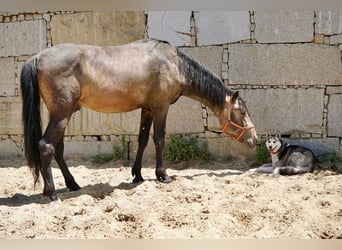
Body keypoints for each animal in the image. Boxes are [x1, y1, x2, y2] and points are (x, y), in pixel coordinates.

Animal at [20, 37, 256, 201]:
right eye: (242, 112)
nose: (254, 139)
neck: (174, 64)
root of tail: (37, 57)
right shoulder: (160, 108)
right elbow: (159, 139)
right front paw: (163, 175)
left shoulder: (147, 109)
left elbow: (142, 139)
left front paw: (137, 175)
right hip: (61, 115)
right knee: (46, 146)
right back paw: (51, 193)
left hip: (62, 115)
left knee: (58, 149)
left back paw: (72, 184)